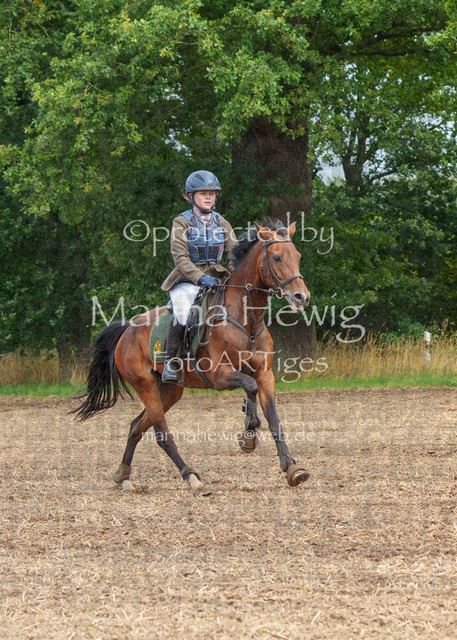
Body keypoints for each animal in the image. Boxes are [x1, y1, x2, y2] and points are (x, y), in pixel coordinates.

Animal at [73, 219, 311, 493]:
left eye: (298, 256)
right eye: (276, 257)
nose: (302, 297)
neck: (246, 320)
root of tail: (127, 330)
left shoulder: (265, 375)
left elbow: (273, 418)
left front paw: (292, 468)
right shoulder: (220, 376)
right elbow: (250, 388)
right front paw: (249, 434)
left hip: (170, 391)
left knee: (136, 427)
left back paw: (123, 474)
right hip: (145, 386)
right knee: (161, 434)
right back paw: (191, 477)